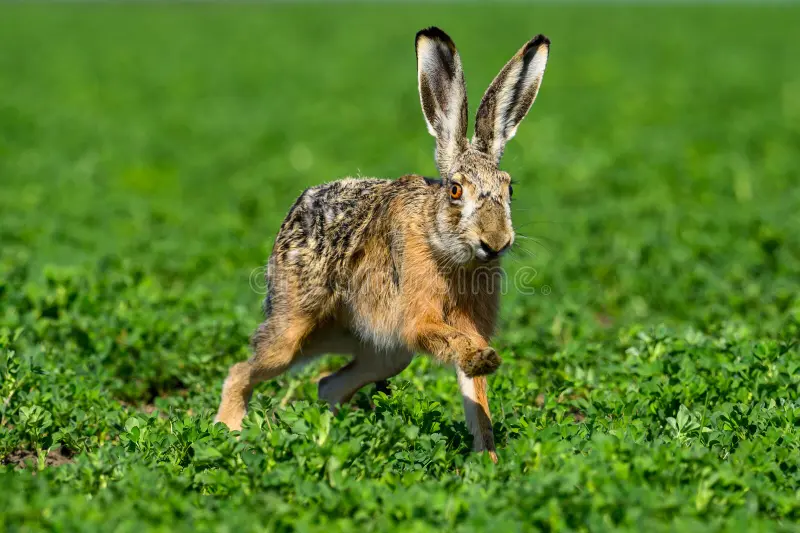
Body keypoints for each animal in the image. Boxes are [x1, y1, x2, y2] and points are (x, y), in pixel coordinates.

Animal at [215, 27, 550, 463]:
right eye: (456, 190)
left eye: (509, 189)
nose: (495, 242)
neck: (444, 245)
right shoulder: (418, 318)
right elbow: (447, 340)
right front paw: (484, 358)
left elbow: (477, 402)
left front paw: (488, 461)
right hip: (294, 330)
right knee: (244, 368)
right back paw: (230, 429)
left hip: (386, 355)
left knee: (328, 384)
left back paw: (330, 436)